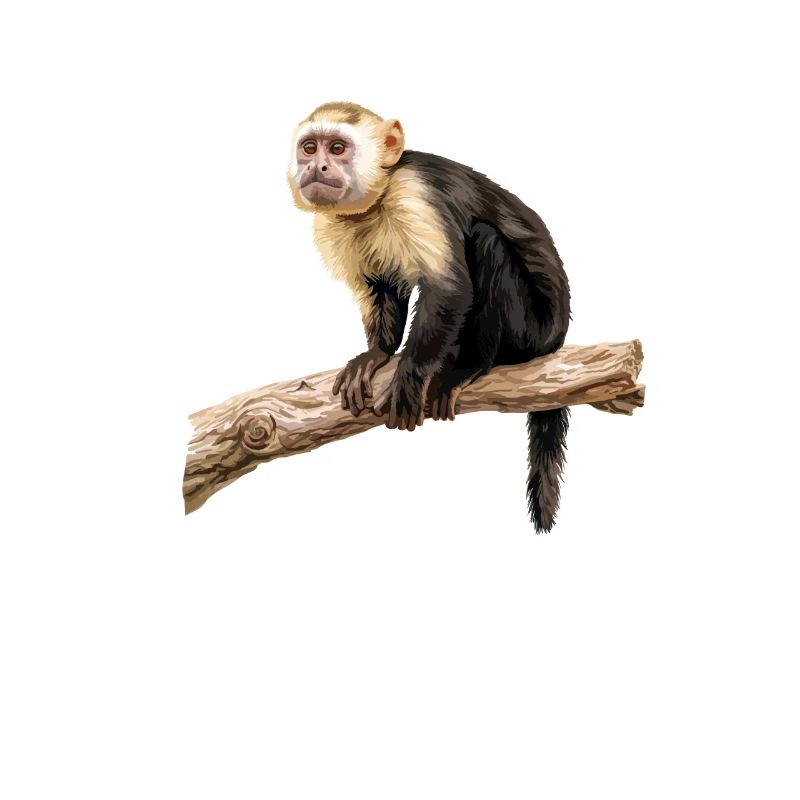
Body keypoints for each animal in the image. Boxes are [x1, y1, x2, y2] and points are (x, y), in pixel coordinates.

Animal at [287, 102, 571, 531]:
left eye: (336, 148)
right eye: (309, 148)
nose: (316, 167)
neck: (378, 197)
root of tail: (558, 338)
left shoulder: (415, 193)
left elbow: (449, 286)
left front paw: (410, 374)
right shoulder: (336, 225)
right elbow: (381, 288)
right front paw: (378, 354)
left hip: (534, 330)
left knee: (487, 242)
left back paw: (472, 364)